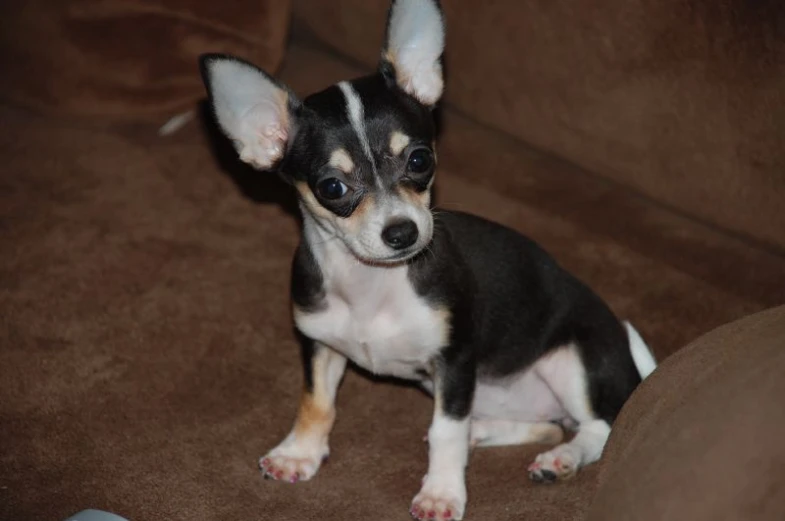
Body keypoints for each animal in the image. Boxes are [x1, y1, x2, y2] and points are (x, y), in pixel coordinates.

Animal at [198, 0, 656, 516]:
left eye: (419, 160)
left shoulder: (453, 363)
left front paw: (441, 492)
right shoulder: (320, 345)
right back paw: (489, 431)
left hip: (573, 361)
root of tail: (630, 366)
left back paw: (561, 459)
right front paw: (299, 454)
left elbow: (445, 433)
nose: (402, 231)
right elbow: (316, 403)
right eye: (332, 188)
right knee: (546, 424)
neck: (373, 285)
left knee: (598, 427)